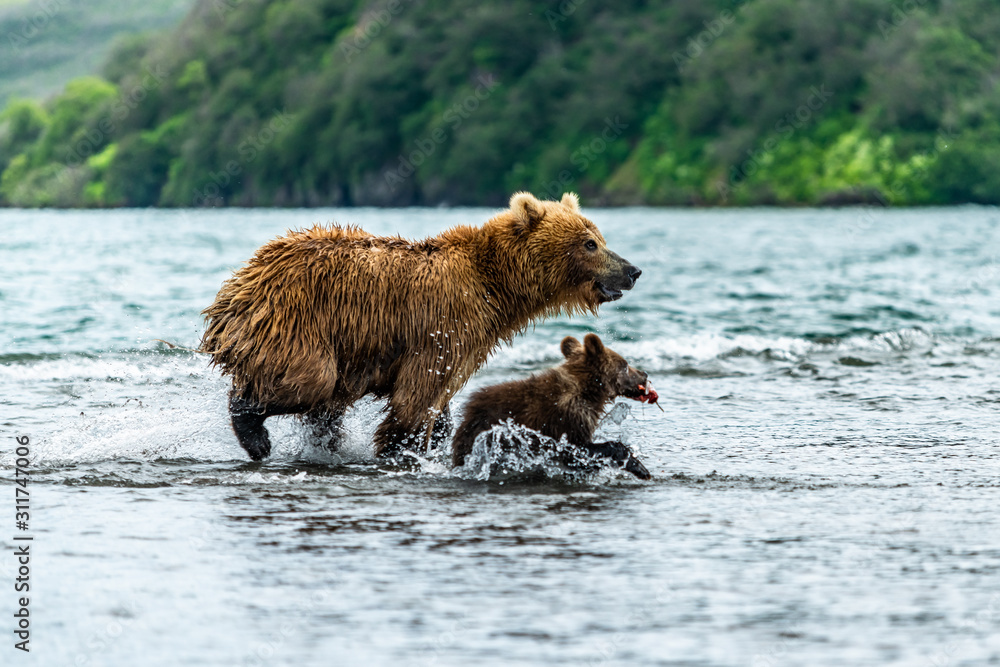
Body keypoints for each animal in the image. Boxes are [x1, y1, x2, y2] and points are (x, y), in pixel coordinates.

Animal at [200, 192, 641, 461]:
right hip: (297, 322)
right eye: (590, 243)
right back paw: (255, 433)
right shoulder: (444, 325)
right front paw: (402, 447)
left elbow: (439, 401)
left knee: (326, 404)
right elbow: (415, 400)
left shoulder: (458, 340)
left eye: (599, 237)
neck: (496, 286)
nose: (632, 270)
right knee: (309, 382)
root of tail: (240, 284)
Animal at [451, 333, 654, 480]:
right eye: (625, 365)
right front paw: (638, 465)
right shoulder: (564, 419)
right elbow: (580, 451)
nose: (644, 373)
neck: (587, 391)